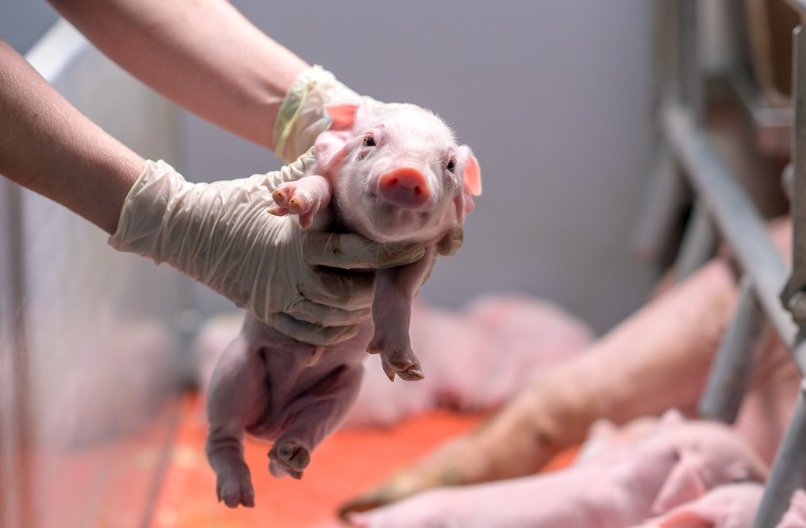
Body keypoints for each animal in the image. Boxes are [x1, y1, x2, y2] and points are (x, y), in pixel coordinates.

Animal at [205, 103, 482, 508]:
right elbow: (318, 192)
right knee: (222, 435)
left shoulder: (420, 252)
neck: (373, 241)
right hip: (236, 367)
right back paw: (239, 498)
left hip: (344, 391)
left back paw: (290, 457)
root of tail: (266, 423)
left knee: (299, 437)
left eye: (448, 165)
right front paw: (289, 198)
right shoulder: (320, 219)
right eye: (369, 140)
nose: (409, 171)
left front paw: (408, 369)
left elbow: (399, 292)